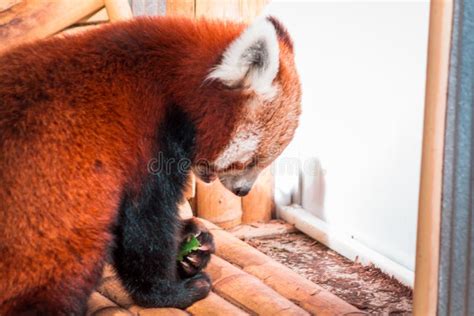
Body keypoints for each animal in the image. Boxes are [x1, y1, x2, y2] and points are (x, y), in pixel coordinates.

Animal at [0, 14, 302, 314]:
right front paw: (169, 293)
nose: (243, 191)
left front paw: (190, 241)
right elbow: (144, 224)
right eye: (253, 161)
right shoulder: (145, 140)